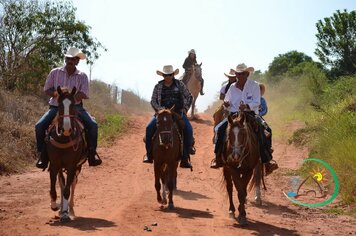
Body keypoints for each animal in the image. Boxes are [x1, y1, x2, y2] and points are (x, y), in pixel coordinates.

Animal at [45, 86, 86, 221]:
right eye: (59, 105)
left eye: (73, 105)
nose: (67, 129)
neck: (63, 138)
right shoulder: (54, 165)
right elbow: (55, 188)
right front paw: (55, 206)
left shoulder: (72, 166)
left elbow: (67, 190)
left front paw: (65, 212)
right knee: (62, 184)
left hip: (78, 167)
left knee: (72, 184)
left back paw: (70, 210)